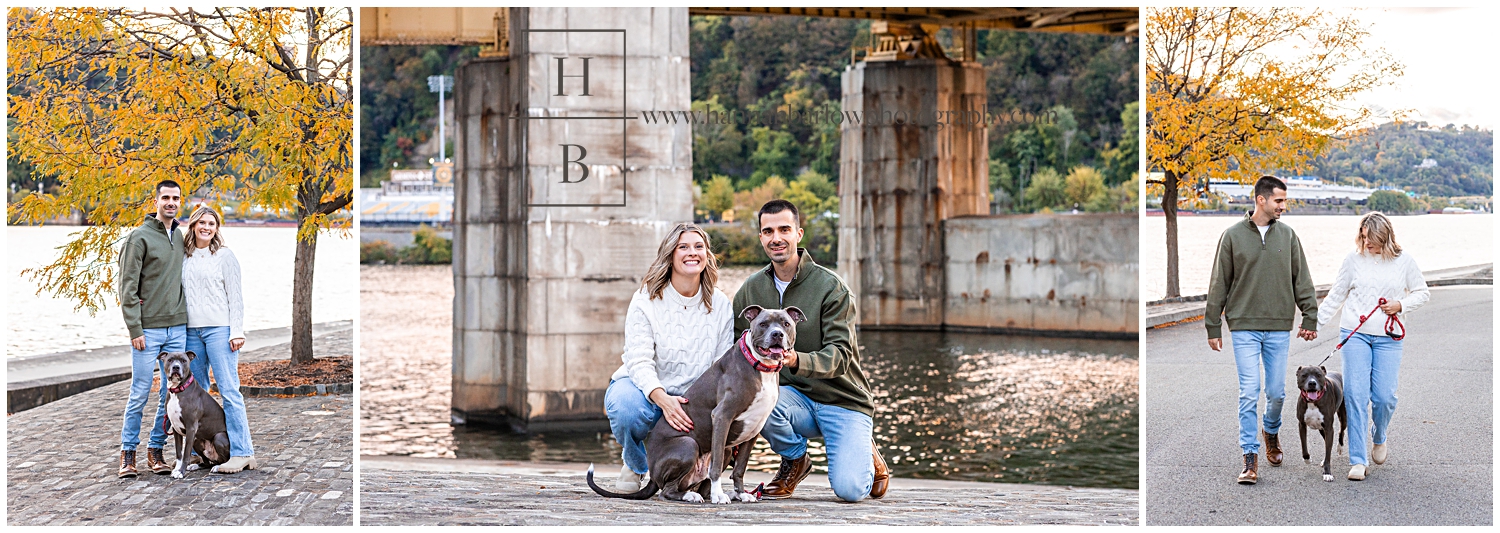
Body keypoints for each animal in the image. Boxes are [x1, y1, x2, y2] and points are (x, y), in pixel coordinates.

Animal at [159, 351, 231, 480]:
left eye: (183, 361)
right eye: (170, 360)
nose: (176, 367)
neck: (177, 390)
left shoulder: (191, 428)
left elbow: (186, 454)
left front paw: (181, 472)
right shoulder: (176, 428)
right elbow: (179, 453)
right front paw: (177, 469)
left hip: (218, 437)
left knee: (223, 460)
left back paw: (218, 467)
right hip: (197, 440)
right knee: (207, 463)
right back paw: (196, 466)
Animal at [585, 304, 804, 504]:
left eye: (786, 324)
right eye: (763, 324)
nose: (777, 334)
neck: (759, 366)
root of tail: (652, 475)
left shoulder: (754, 428)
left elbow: (740, 468)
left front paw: (742, 494)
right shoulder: (722, 416)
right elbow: (715, 467)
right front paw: (719, 497)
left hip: (725, 450)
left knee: (701, 483)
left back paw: (725, 494)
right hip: (688, 444)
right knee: (667, 491)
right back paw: (694, 495)